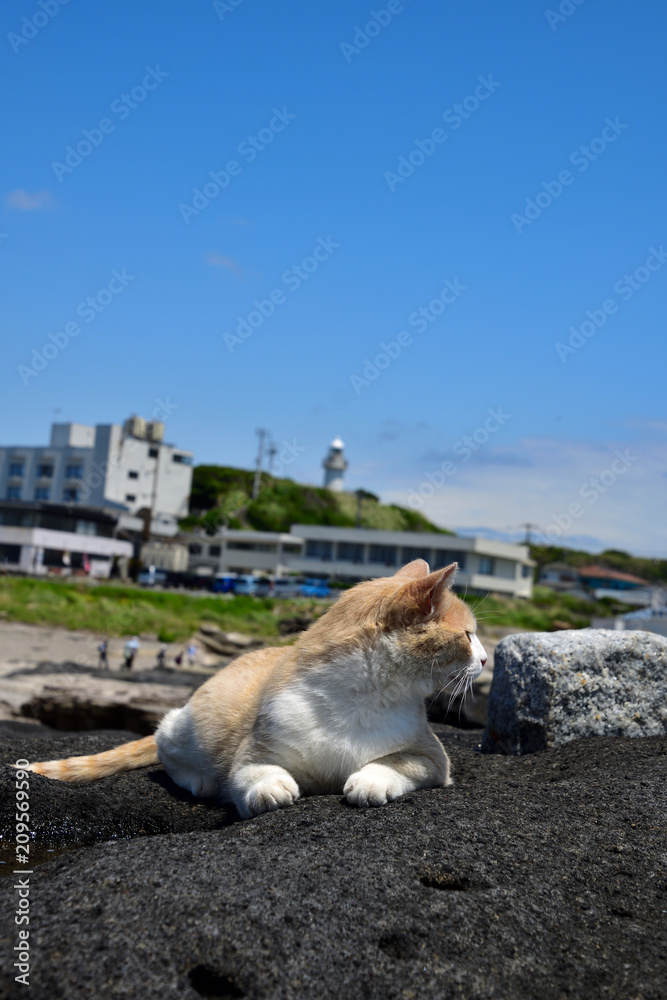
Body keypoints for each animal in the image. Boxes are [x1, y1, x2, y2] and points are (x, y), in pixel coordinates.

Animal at [24, 560, 487, 818]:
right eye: (468, 636)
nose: (484, 660)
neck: (364, 697)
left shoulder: (434, 759)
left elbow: (397, 763)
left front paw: (369, 781)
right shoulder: (255, 750)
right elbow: (249, 774)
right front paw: (270, 788)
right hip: (183, 727)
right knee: (164, 748)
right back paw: (200, 781)